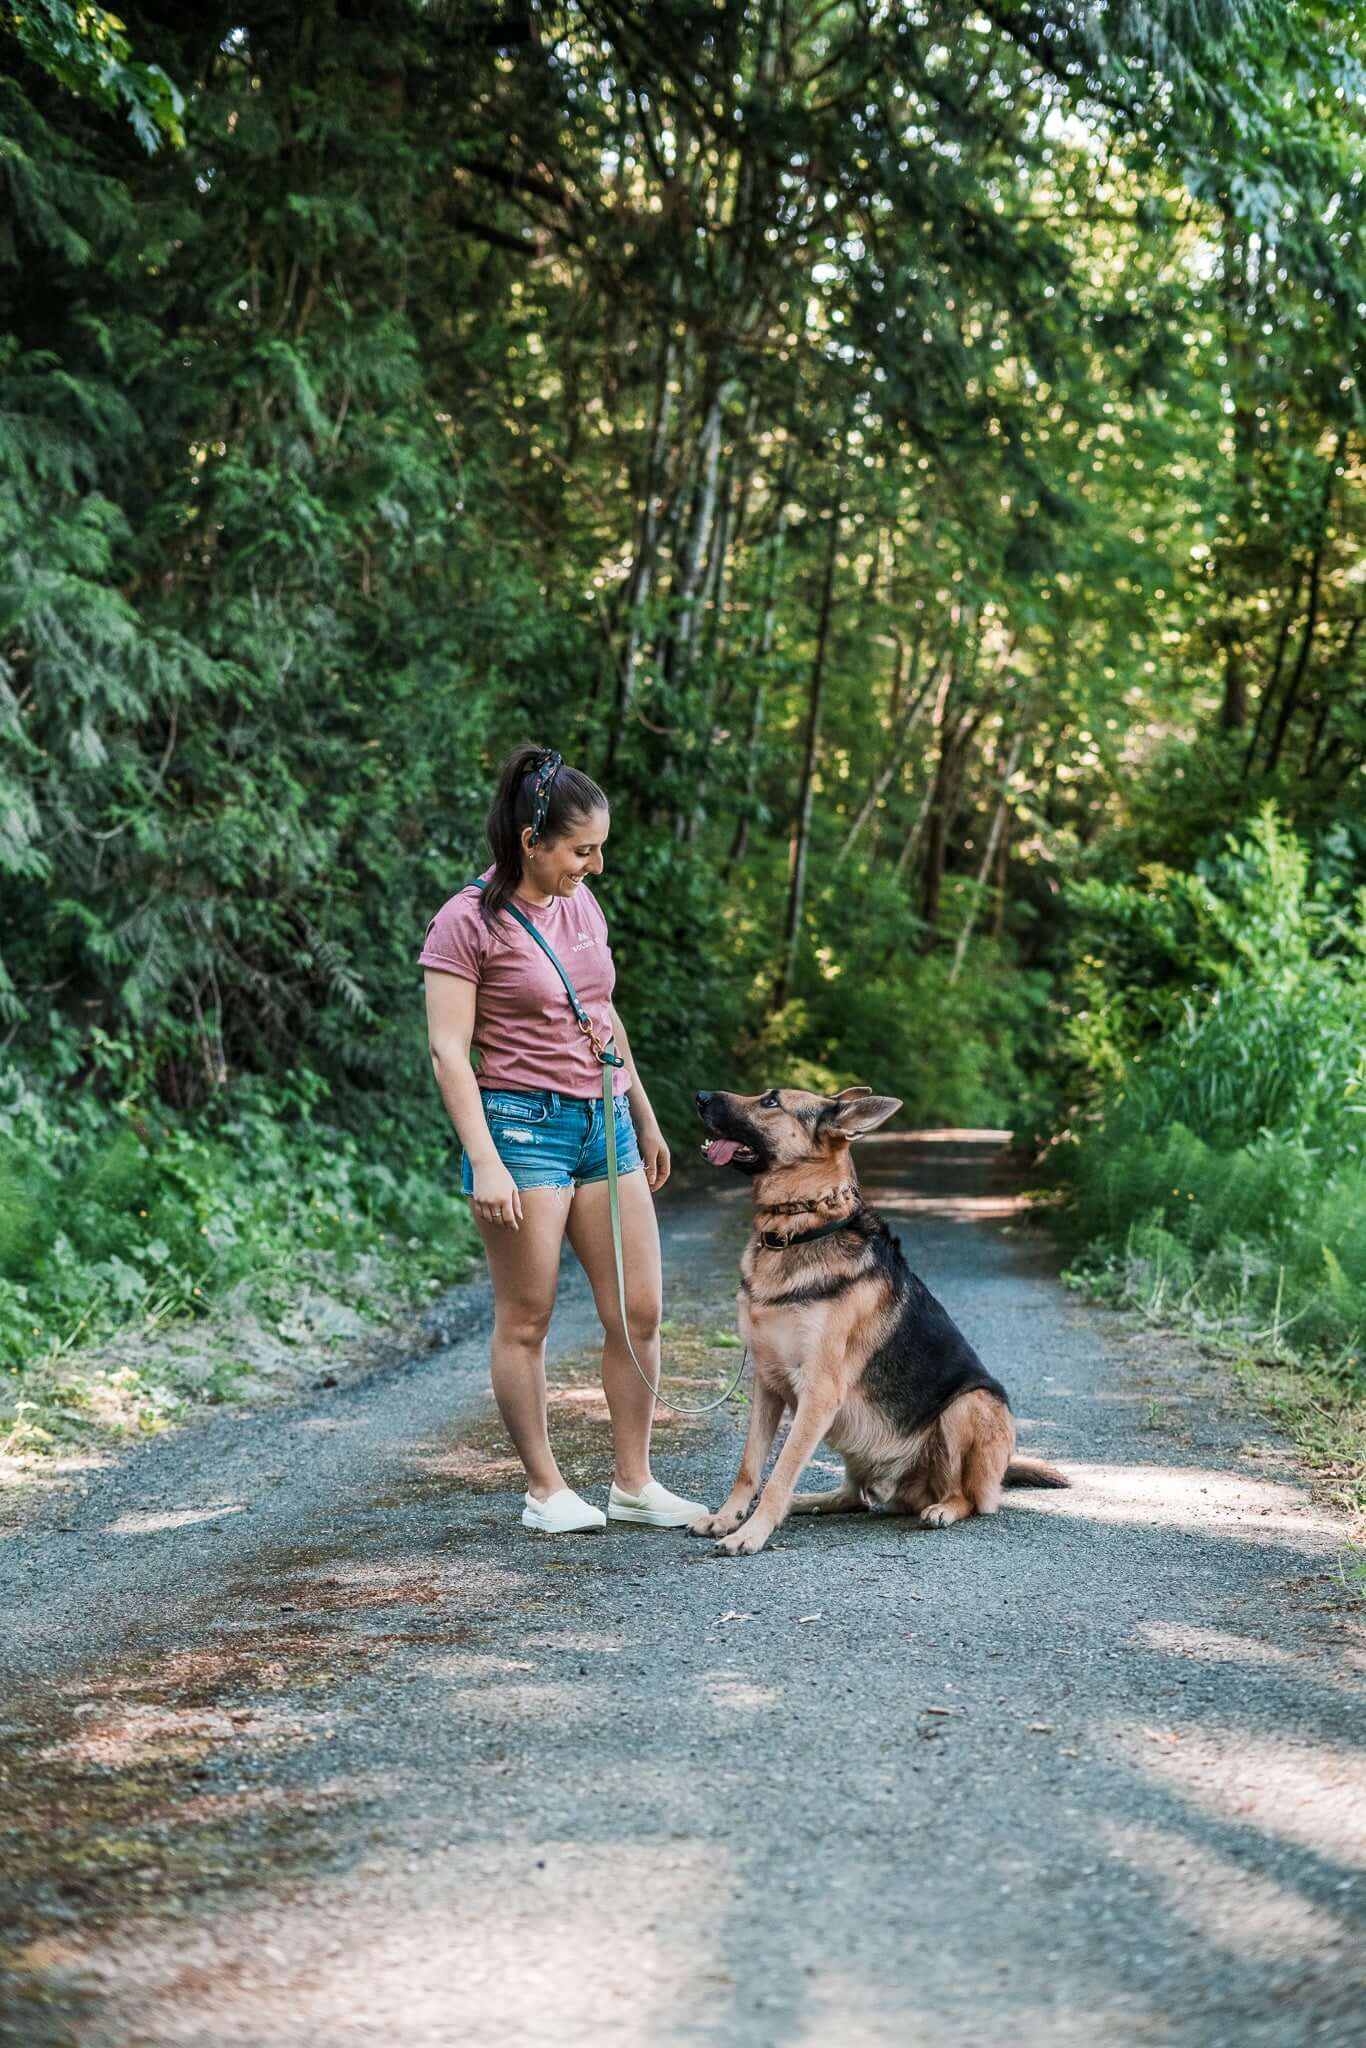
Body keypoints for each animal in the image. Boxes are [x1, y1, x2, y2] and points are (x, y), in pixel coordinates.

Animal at [696, 1089, 1064, 1548]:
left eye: (770, 1102)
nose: (700, 1097)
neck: (799, 1229)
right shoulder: (768, 1384)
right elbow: (750, 1465)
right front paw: (729, 1517)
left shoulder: (818, 1393)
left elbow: (780, 1471)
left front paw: (752, 1533)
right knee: (853, 1496)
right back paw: (808, 1501)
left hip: (969, 1406)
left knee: (968, 1498)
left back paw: (942, 1509)